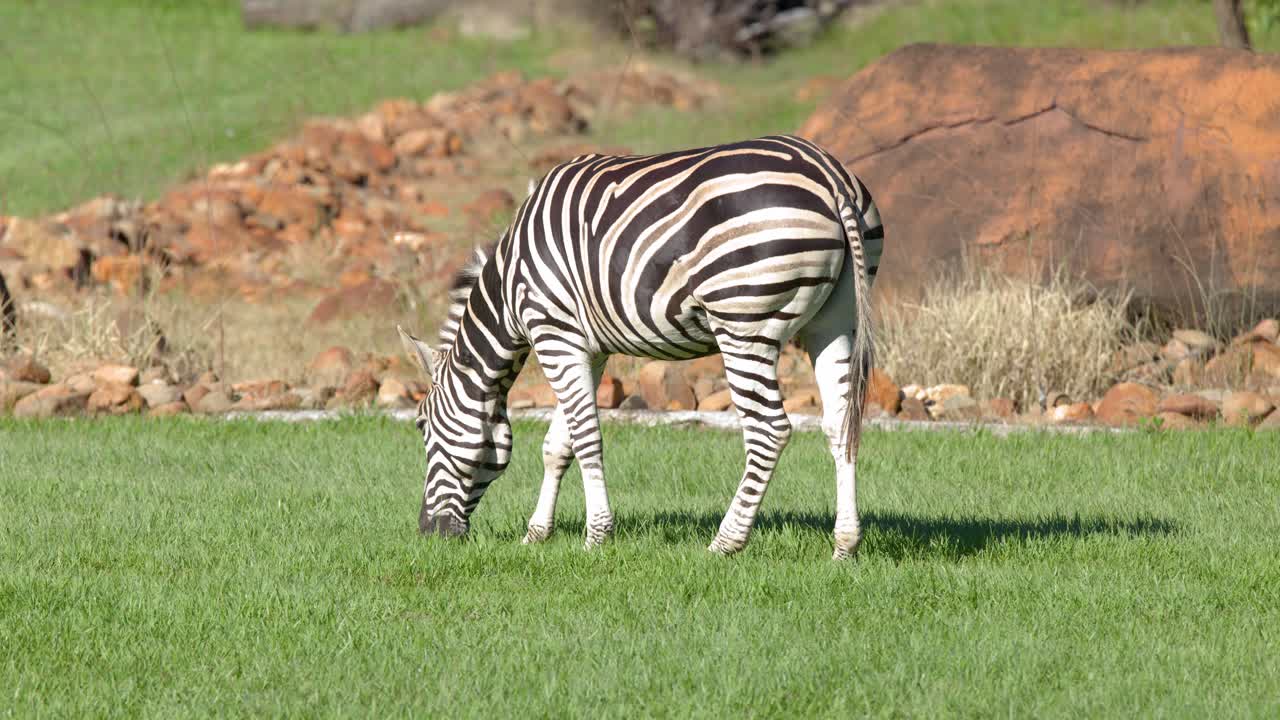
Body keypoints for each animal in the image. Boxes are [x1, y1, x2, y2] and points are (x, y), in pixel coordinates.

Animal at [397, 134, 884, 558]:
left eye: (420, 424)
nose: (428, 533)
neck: (509, 287)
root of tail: (828, 173)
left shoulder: (554, 333)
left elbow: (586, 437)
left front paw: (596, 536)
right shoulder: (586, 348)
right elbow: (558, 445)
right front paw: (536, 534)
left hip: (743, 322)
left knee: (769, 431)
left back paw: (725, 543)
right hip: (834, 322)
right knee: (841, 424)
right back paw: (845, 545)